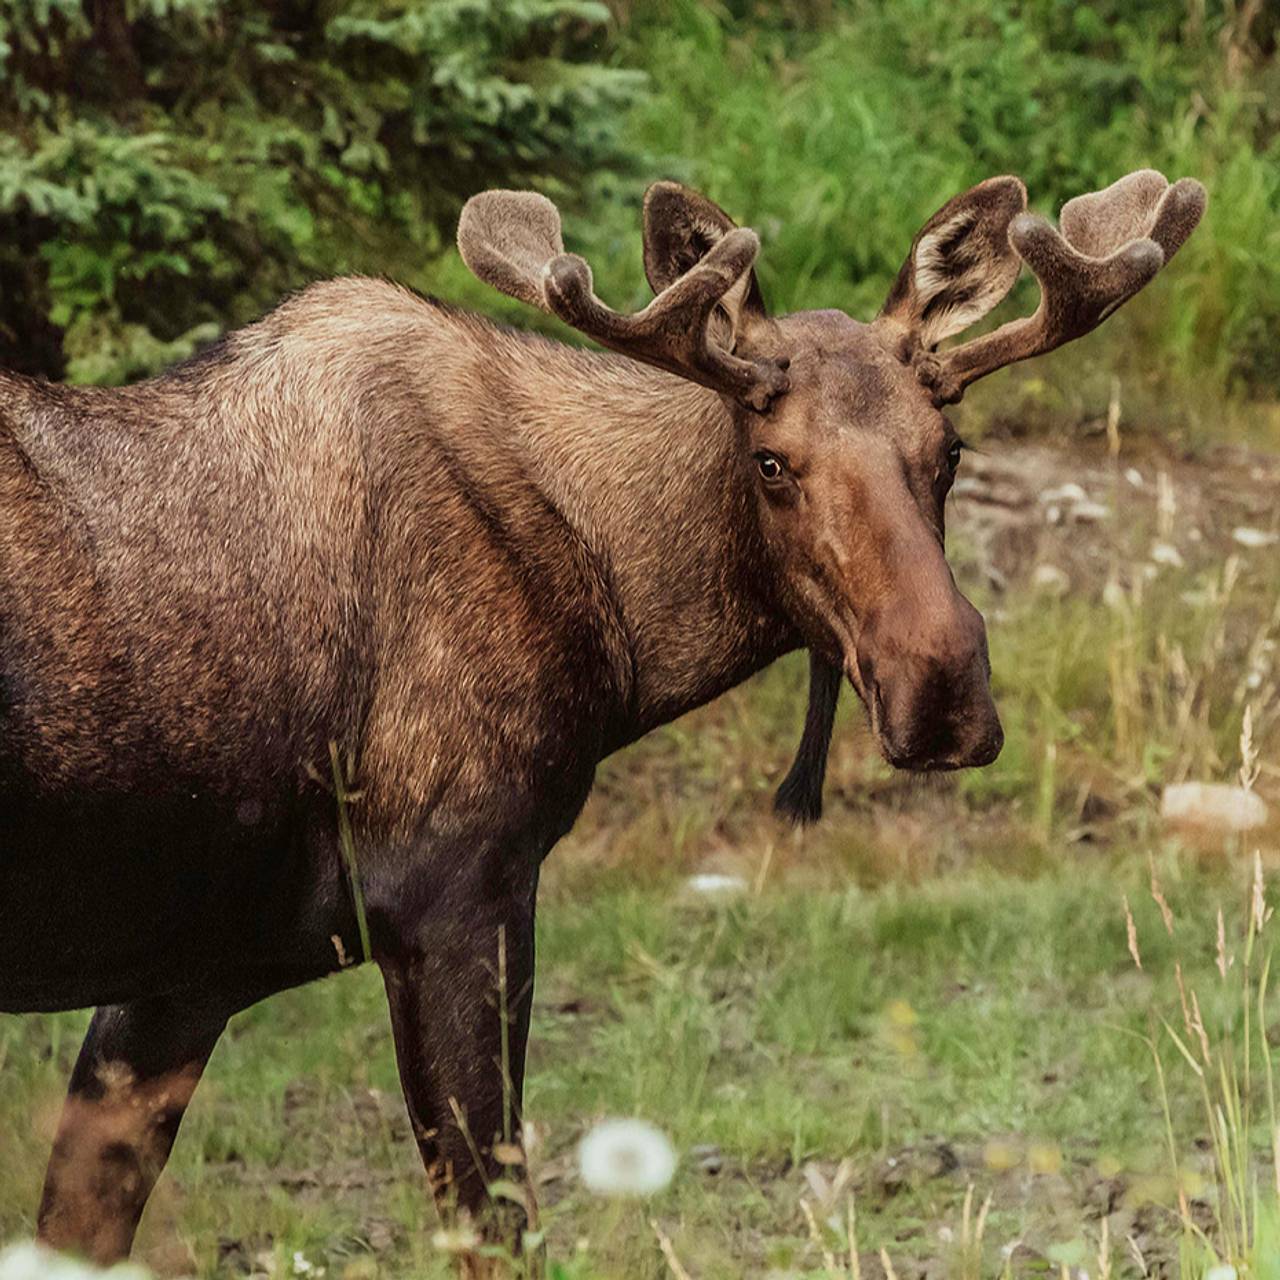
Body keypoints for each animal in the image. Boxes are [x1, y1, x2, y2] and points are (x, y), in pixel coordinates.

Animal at [0, 165, 1198, 1264]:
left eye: (950, 452)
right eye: (771, 462)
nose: (943, 691)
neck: (619, 630)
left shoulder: (186, 972)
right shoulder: (455, 897)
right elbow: (500, 1229)